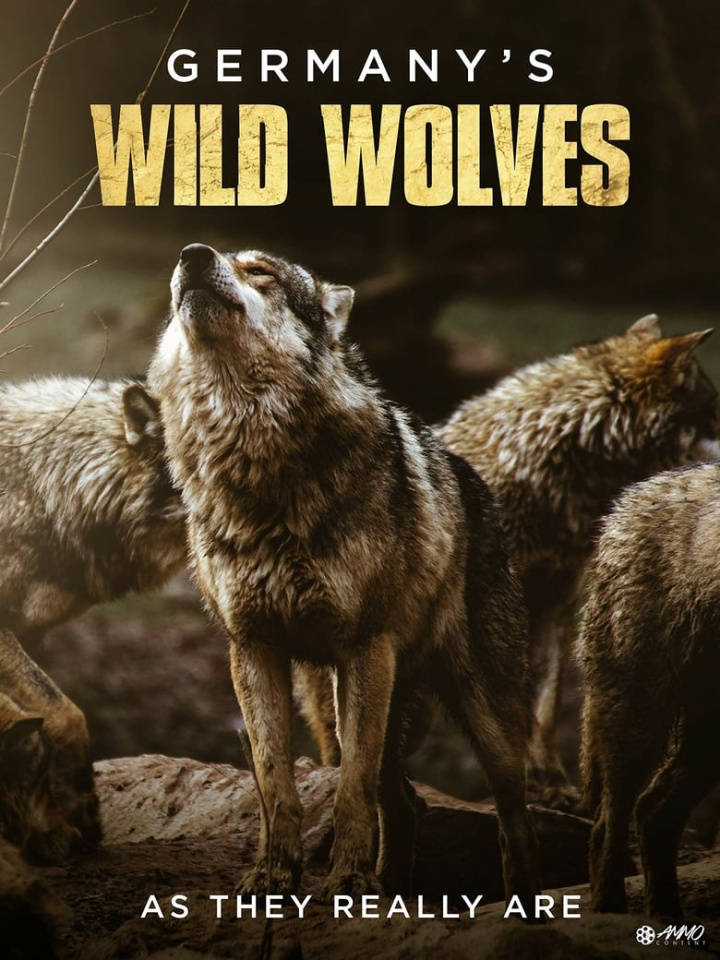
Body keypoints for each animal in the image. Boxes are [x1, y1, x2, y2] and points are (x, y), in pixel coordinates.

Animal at [147, 242, 541, 904]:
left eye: (262, 272)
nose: (192, 255)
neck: (255, 464)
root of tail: (471, 476)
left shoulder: (363, 646)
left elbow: (351, 791)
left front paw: (348, 881)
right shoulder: (251, 649)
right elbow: (274, 783)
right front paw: (273, 875)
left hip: (478, 716)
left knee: (513, 812)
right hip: (339, 704)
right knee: (404, 802)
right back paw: (391, 888)